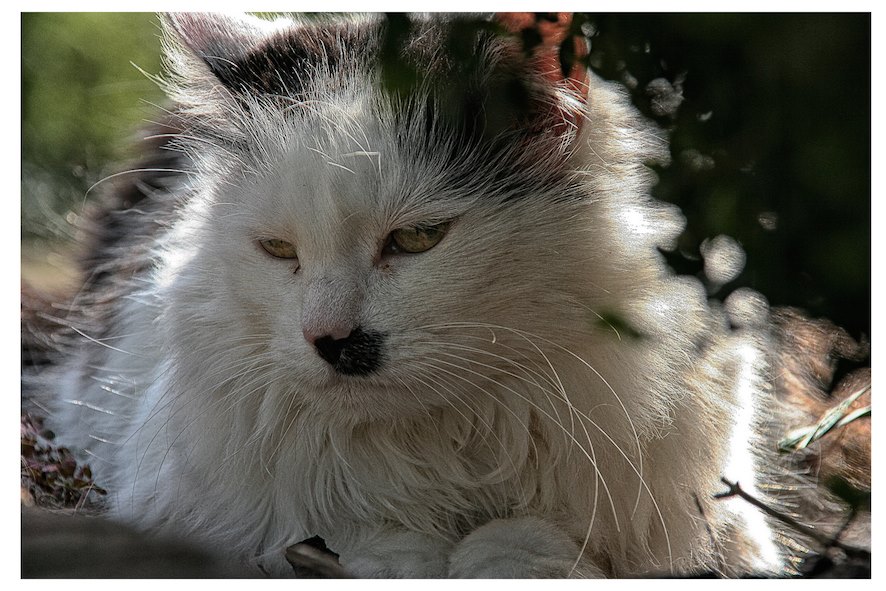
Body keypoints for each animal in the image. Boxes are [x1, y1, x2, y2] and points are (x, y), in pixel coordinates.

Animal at [34, 12, 792, 580]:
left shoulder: (715, 521)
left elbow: (529, 539)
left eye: (418, 238)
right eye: (279, 250)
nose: (330, 339)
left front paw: (498, 556)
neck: (460, 443)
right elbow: (361, 535)